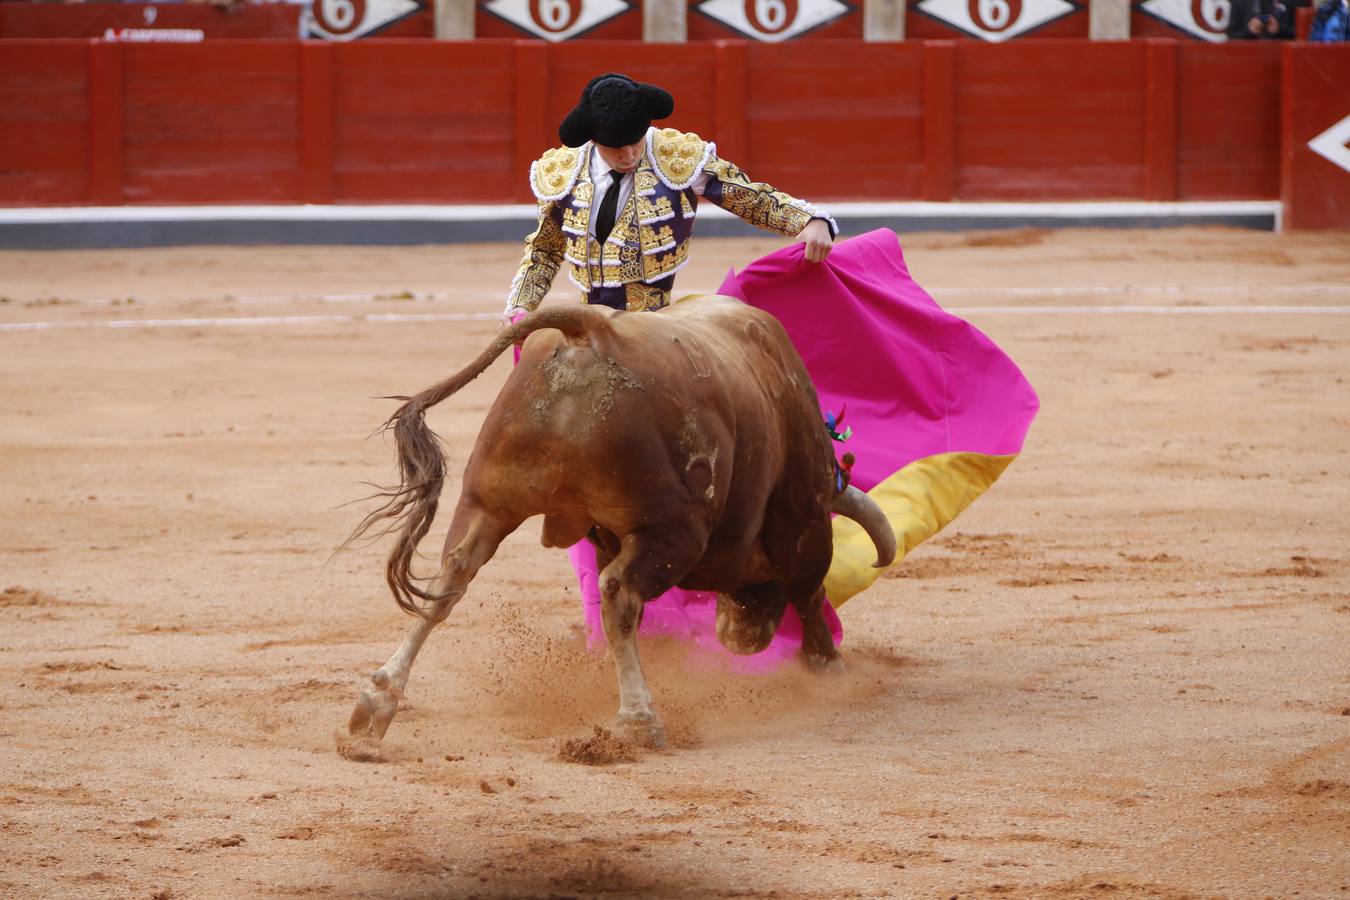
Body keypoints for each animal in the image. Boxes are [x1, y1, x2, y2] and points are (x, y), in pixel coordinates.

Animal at [345, 295, 896, 744]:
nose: (744, 636)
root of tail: (588, 333)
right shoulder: (804, 519)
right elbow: (810, 590)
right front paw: (826, 666)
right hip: (671, 532)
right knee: (620, 593)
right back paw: (640, 720)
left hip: (487, 501)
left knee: (451, 578)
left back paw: (375, 704)